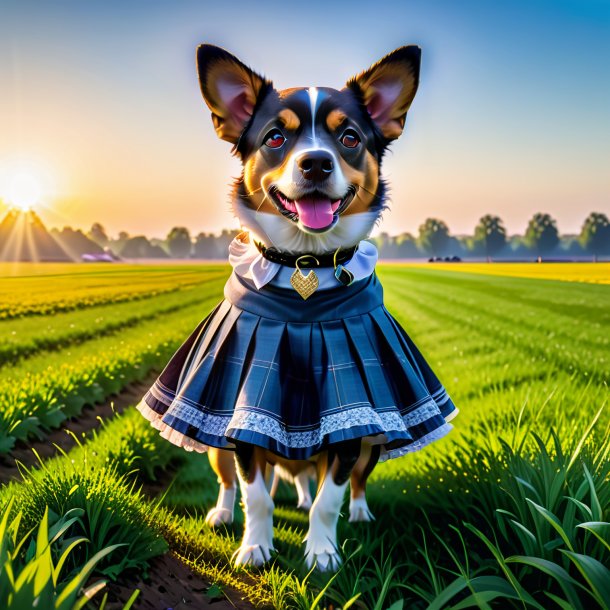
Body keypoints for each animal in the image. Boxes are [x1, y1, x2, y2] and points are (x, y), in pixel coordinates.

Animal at [197, 44, 420, 568]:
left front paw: (321, 554)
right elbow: (255, 494)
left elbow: (328, 499)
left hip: (370, 443)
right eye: (276, 136)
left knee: (343, 483)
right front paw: (255, 547)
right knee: (228, 478)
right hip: (216, 442)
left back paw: (355, 512)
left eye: (349, 136)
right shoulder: (241, 417)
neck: (306, 263)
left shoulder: (353, 424)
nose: (316, 163)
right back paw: (223, 514)